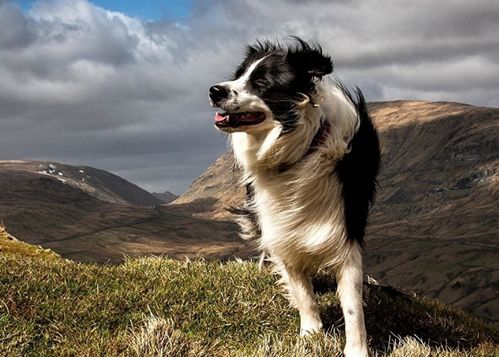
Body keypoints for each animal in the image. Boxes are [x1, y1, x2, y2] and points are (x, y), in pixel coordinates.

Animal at [209, 37, 380, 354]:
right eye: (239, 75)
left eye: (261, 82)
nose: (215, 90)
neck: (301, 148)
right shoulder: (282, 229)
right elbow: (302, 290)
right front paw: (311, 333)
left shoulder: (345, 228)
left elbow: (352, 304)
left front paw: (356, 349)